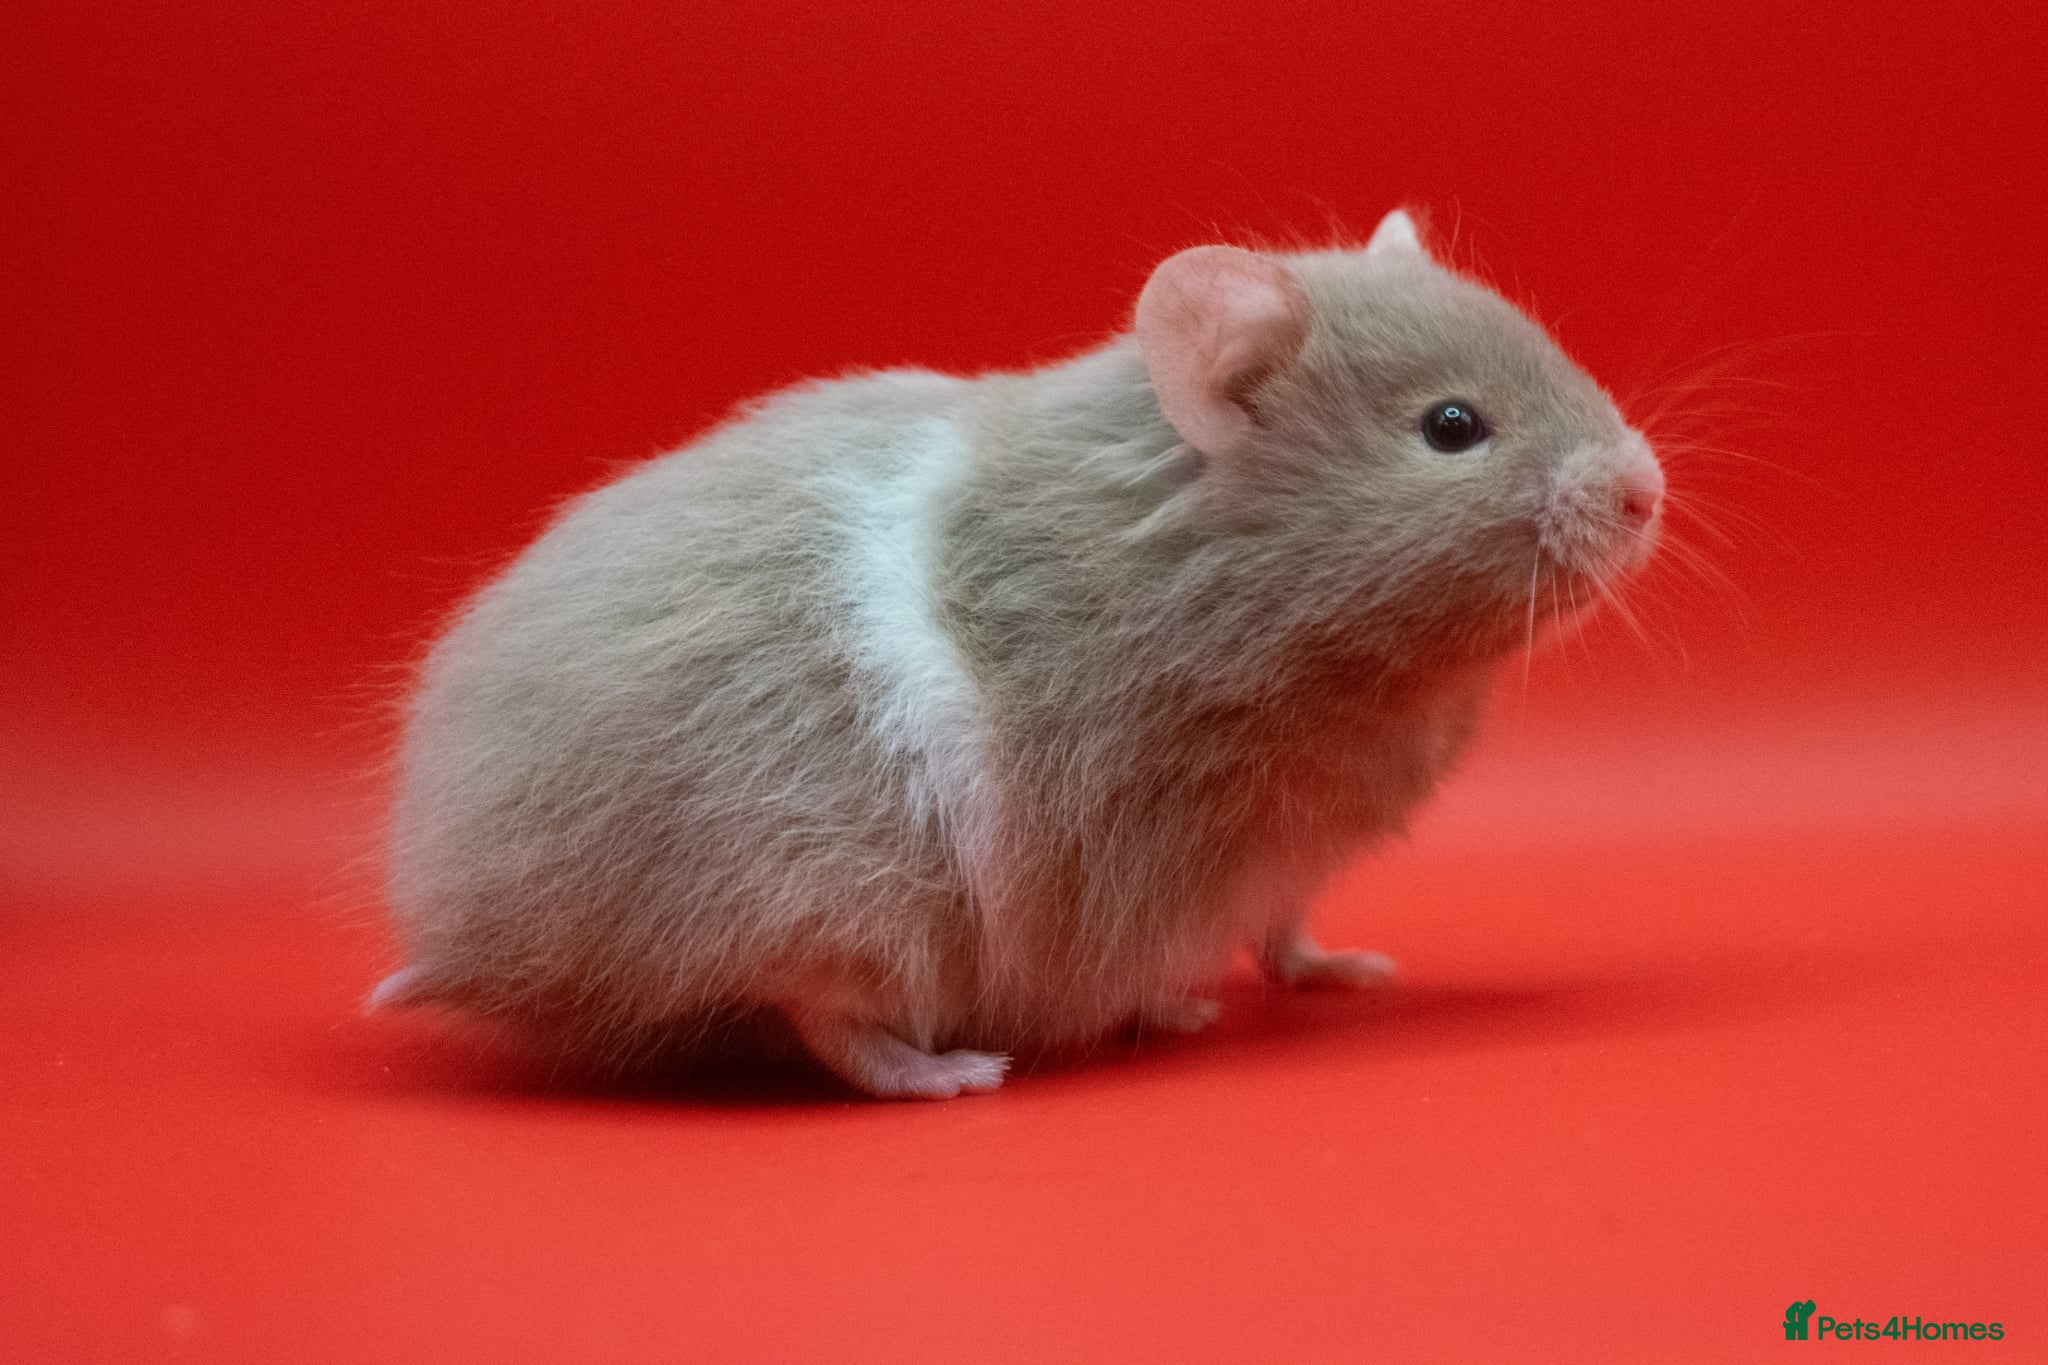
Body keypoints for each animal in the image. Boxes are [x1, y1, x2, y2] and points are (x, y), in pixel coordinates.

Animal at [375, 209, 1665, 1099]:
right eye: (1451, 428)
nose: (1647, 491)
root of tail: (457, 932)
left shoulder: (1286, 861)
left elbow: (1285, 930)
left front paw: (1348, 974)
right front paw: (1171, 1013)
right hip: (831, 893)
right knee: (828, 1020)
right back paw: (954, 1077)